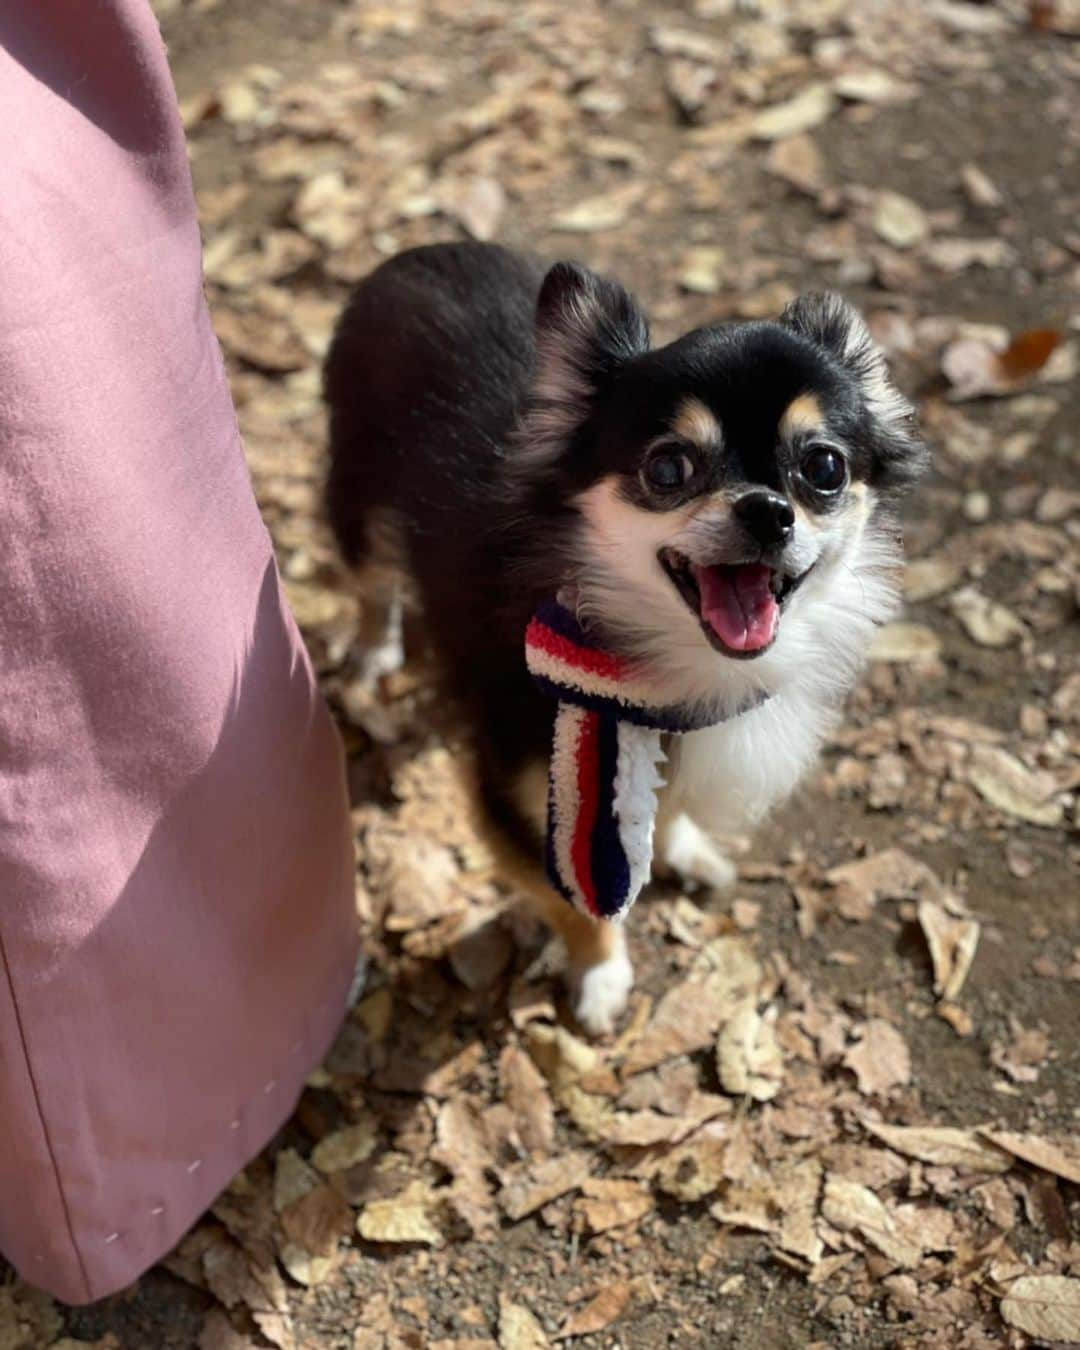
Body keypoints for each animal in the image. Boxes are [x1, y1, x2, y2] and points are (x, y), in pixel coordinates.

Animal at [322, 243, 928, 1031]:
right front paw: (602, 977)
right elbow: (575, 906)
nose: (769, 511)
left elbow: (662, 800)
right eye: (668, 468)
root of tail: (419, 252)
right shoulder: (518, 802)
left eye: (825, 468)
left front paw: (679, 847)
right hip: (358, 499)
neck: (669, 658)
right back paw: (373, 653)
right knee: (372, 583)